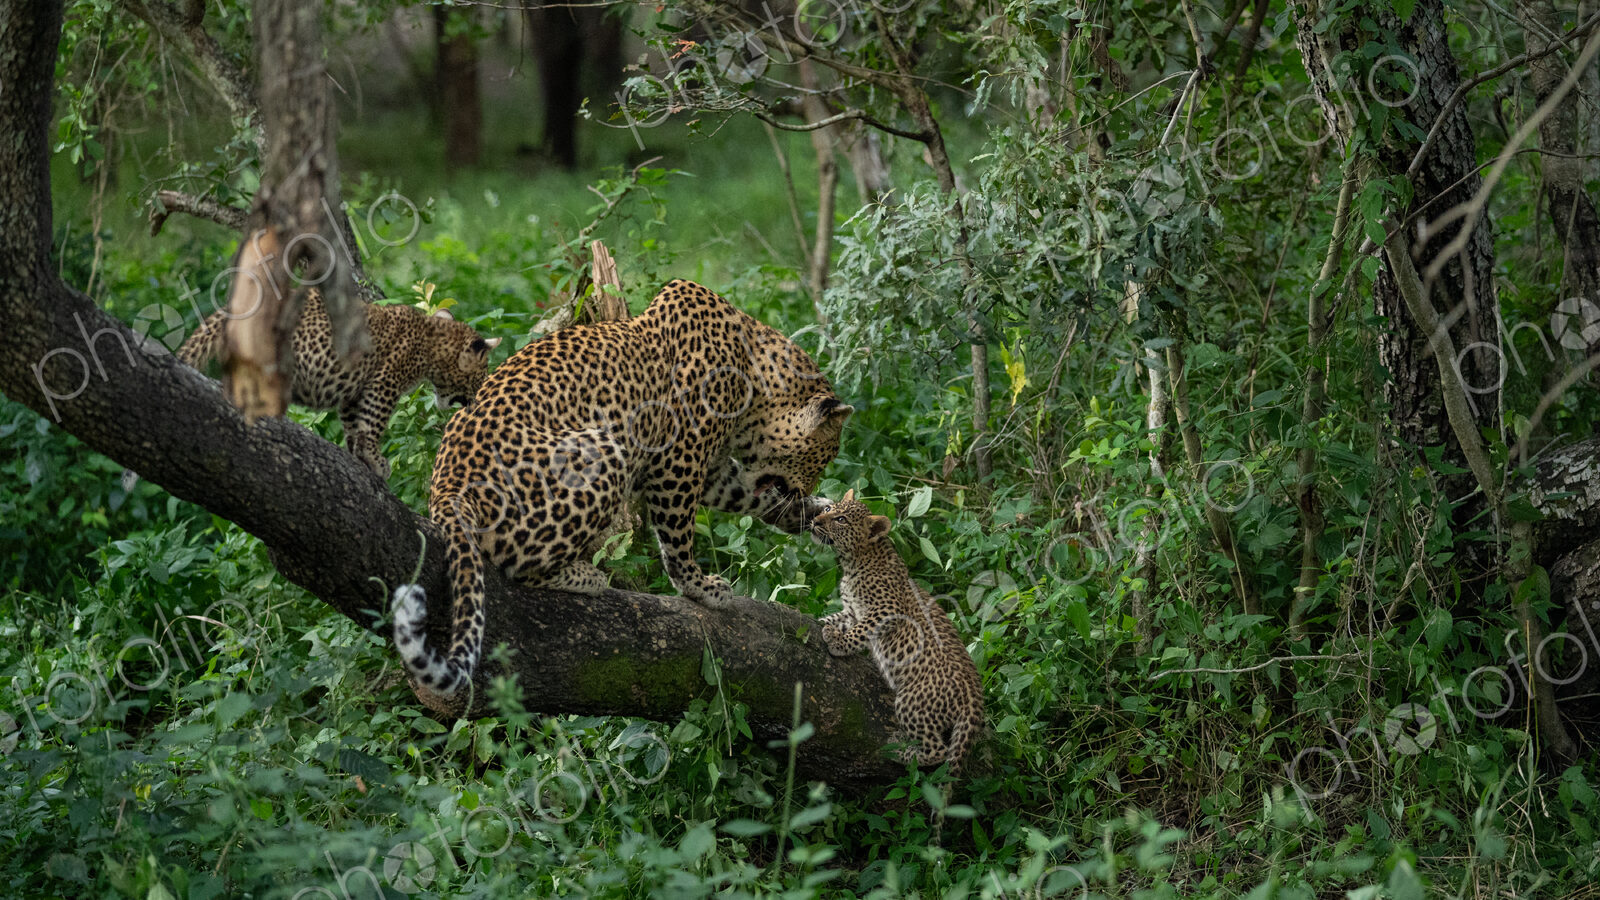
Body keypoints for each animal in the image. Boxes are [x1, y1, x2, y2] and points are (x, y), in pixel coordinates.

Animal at [155, 288, 499, 479]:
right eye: (480, 375)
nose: (475, 398)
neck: (432, 341)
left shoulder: (354, 391)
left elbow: (353, 425)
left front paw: (358, 457)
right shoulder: (384, 383)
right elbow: (372, 425)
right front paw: (376, 460)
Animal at [392, 278, 853, 699]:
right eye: (824, 457)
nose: (810, 486)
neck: (754, 382)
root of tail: (448, 489)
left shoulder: (710, 469)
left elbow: (748, 496)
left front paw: (811, 514)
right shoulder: (679, 461)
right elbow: (679, 539)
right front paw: (701, 588)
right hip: (602, 451)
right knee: (518, 565)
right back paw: (585, 576)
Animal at [810, 491, 985, 773]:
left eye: (841, 519)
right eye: (828, 509)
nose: (815, 520)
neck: (854, 561)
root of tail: (975, 700)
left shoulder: (887, 609)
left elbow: (861, 630)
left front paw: (838, 642)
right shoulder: (852, 611)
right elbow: (837, 618)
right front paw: (822, 623)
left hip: (911, 703)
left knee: (937, 749)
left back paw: (899, 750)